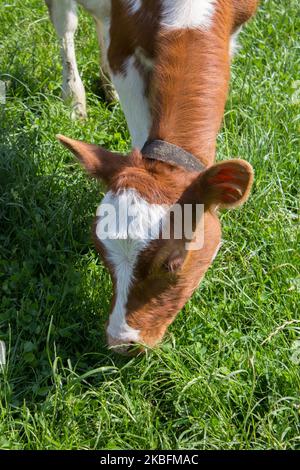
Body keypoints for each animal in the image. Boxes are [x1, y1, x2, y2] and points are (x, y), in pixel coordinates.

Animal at [45, 0, 258, 352]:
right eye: (100, 250)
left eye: (173, 263)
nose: (121, 342)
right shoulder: (125, 50)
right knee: (66, 26)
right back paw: (75, 100)